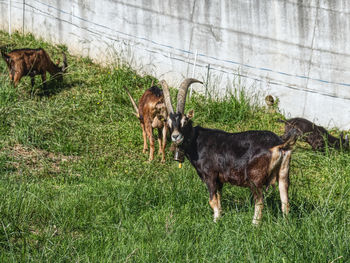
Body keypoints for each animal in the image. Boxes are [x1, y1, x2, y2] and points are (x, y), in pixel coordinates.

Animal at [161, 78, 298, 225]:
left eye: (185, 120)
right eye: (168, 122)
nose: (176, 136)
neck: (197, 141)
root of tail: (279, 144)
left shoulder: (210, 175)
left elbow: (212, 200)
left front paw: (215, 221)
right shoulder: (219, 179)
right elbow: (219, 198)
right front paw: (220, 216)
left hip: (255, 177)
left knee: (260, 201)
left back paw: (254, 225)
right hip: (284, 173)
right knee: (285, 201)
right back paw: (285, 224)